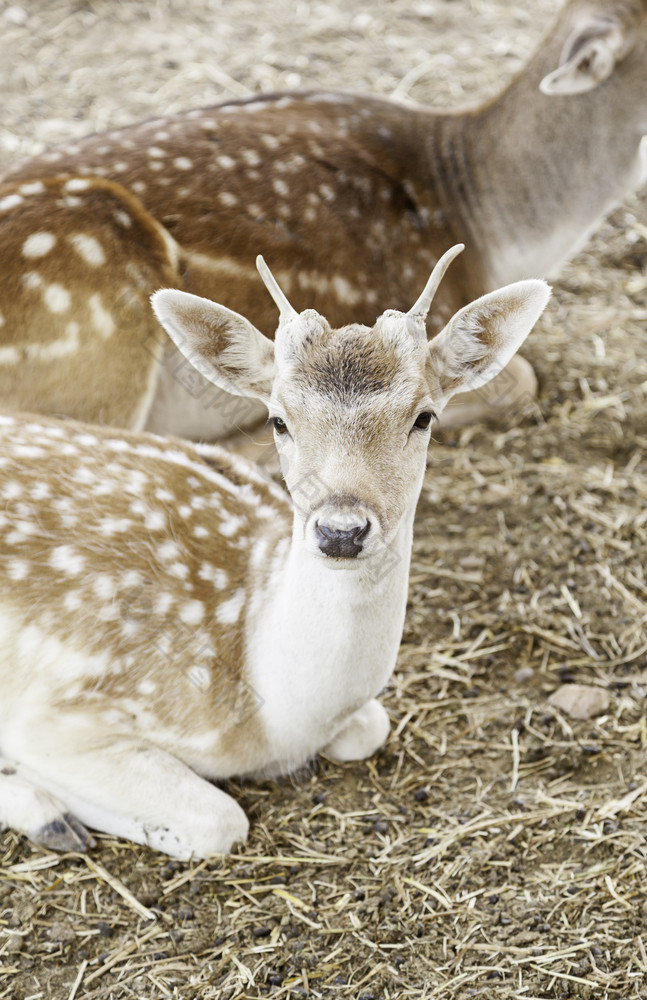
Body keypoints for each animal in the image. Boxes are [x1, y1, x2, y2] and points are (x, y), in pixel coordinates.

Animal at [0, 250, 552, 860]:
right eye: (278, 420)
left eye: (424, 417)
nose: (341, 532)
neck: (272, 716)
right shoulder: (64, 711)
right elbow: (219, 820)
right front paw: (40, 796)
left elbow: (372, 727)